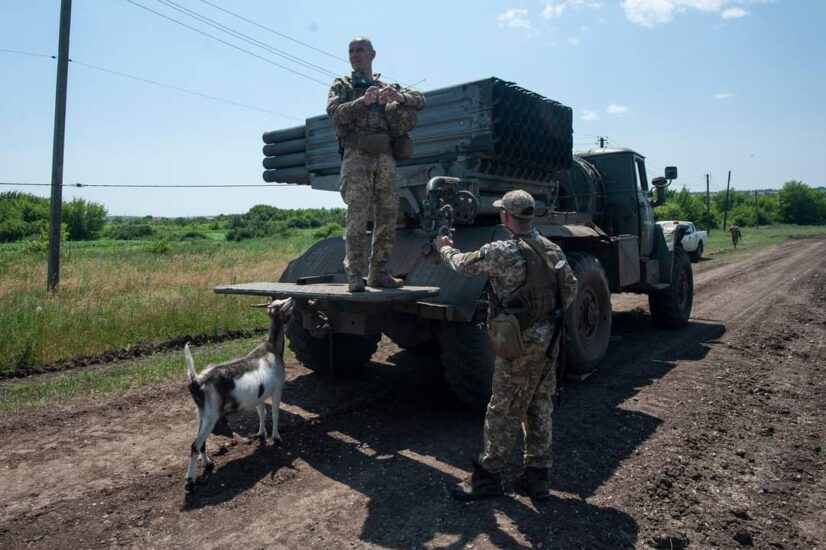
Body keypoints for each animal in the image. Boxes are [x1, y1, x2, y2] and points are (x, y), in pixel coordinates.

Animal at [183, 300, 292, 494]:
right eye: (282, 305)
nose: (292, 299)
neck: (271, 349)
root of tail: (197, 380)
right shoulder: (277, 388)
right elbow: (275, 413)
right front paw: (276, 437)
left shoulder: (260, 396)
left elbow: (262, 413)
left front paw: (261, 434)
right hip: (211, 415)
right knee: (195, 444)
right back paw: (190, 480)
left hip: (202, 413)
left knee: (201, 443)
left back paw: (208, 464)